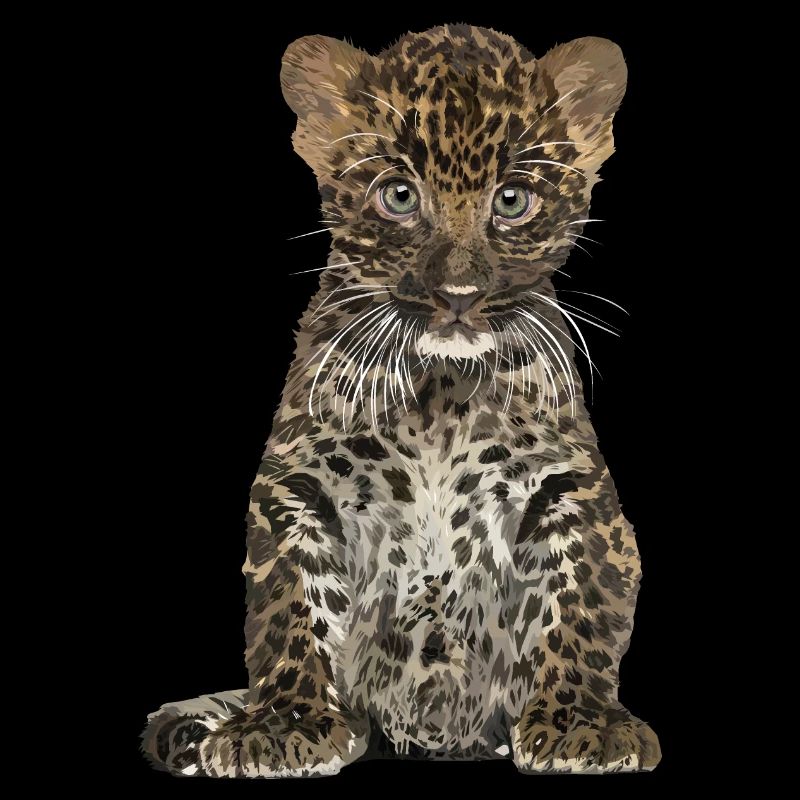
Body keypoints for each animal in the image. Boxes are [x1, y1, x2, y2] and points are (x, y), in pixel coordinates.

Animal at [142, 23, 661, 777]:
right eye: (398, 196)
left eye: (512, 200)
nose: (458, 294)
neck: (440, 391)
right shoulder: (298, 484)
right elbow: (290, 603)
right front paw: (283, 724)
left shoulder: (569, 486)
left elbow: (581, 600)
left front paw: (581, 724)